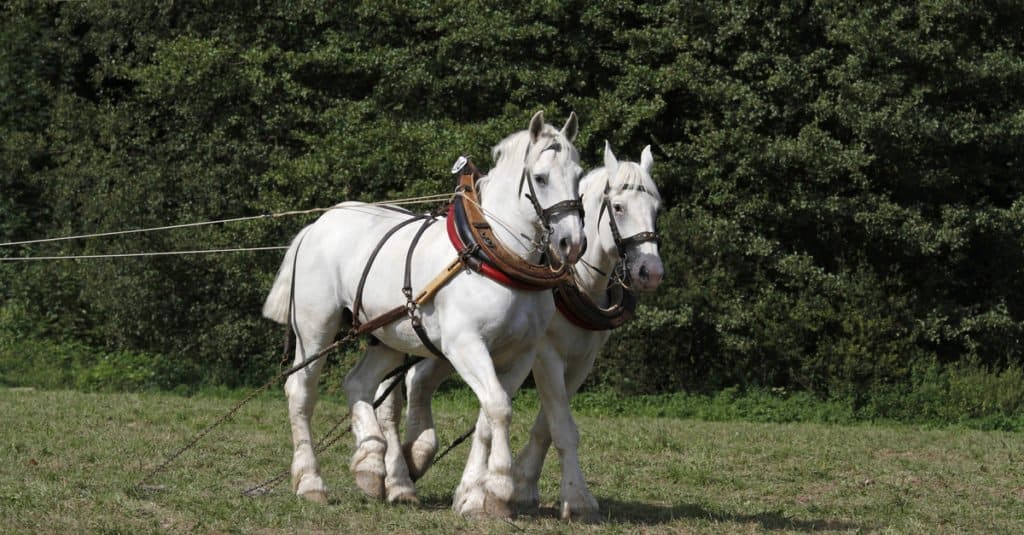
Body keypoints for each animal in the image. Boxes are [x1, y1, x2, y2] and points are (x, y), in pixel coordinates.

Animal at [264, 110, 585, 514]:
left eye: (578, 175)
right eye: (541, 178)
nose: (572, 243)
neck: (496, 255)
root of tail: (316, 225)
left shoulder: (520, 354)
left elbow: (489, 413)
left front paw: (477, 494)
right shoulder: (466, 345)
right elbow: (498, 407)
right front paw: (498, 487)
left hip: (385, 336)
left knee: (358, 383)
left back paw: (371, 462)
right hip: (315, 329)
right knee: (301, 393)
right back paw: (310, 481)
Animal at [382, 141, 663, 516]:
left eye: (657, 208)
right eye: (618, 207)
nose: (651, 271)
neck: (574, 282)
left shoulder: (580, 360)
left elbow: (545, 424)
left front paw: (518, 484)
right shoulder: (544, 355)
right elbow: (559, 425)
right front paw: (574, 498)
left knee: (418, 380)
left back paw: (417, 455)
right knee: (388, 398)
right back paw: (392, 477)